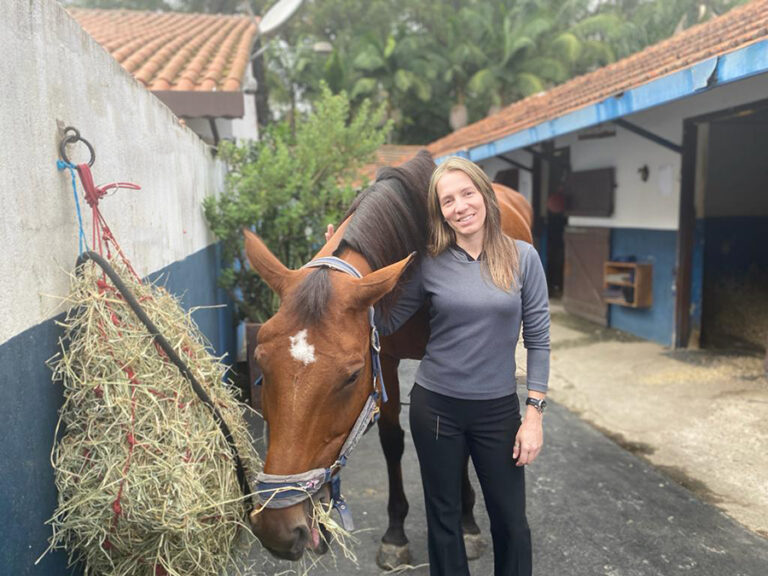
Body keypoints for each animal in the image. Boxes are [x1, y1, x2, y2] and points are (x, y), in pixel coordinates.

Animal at [243, 151, 532, 564]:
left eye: (351, 376)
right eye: (262, 366)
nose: (279, 527)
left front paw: (466, 523)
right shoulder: (387, 359)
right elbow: (393, 440)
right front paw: (395, 533)